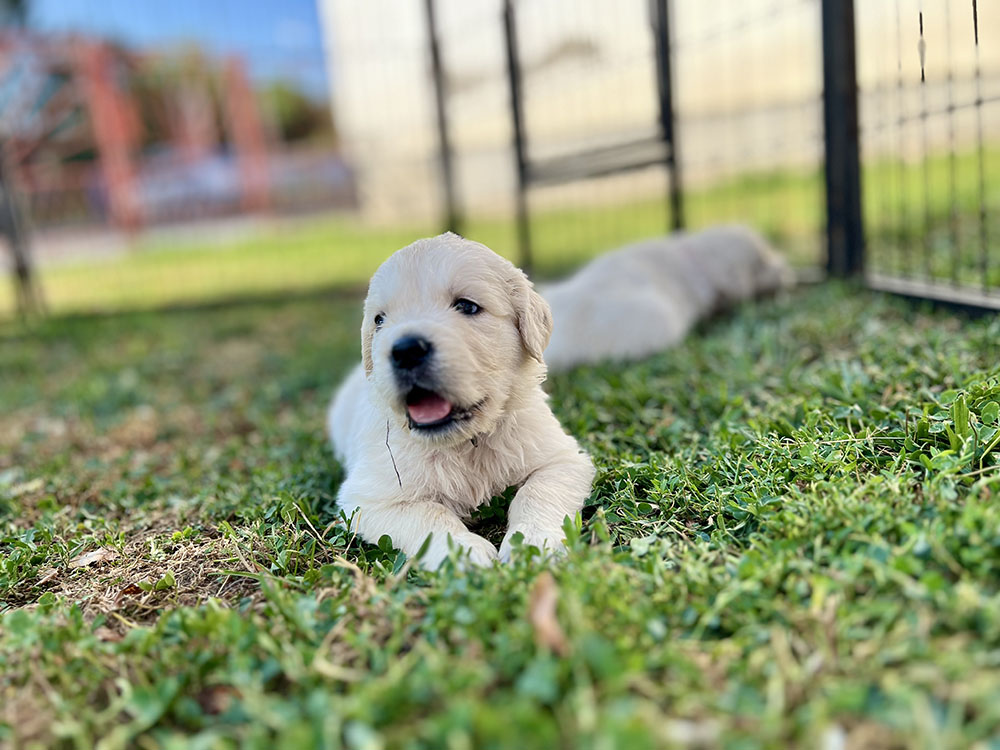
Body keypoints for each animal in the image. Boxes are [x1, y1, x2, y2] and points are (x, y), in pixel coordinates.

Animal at [327, 233, 595, 569]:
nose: (405, 350)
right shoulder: (369, 500)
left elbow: (538, 491)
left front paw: (532, 542)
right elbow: (429, 515)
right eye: (379, 320)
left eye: (467, 306)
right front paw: (464, 552)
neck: (466, 444)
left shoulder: (564, 460)